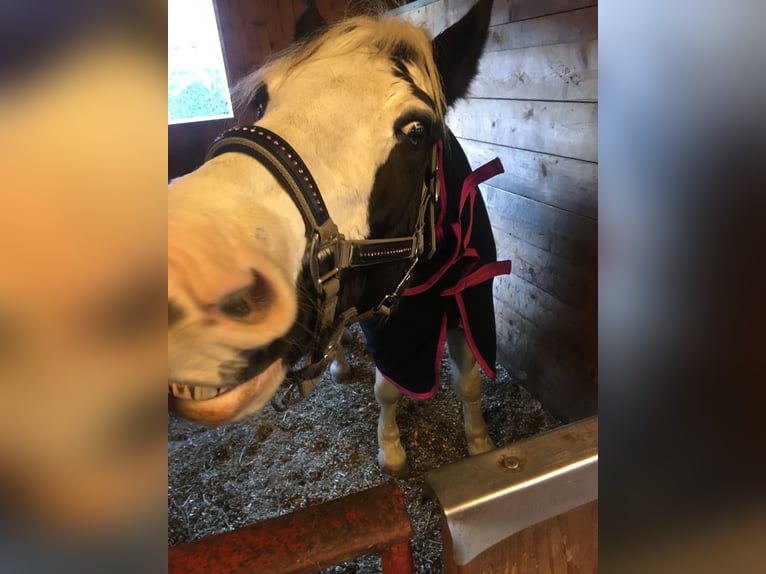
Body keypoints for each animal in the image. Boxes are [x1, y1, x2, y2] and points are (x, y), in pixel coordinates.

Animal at [168, 0, 510, 476]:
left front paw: (480, 444)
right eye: (262, 100)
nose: (186, 273)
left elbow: (471, 383)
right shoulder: (385, 324)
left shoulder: (466, 301)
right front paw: (392, 449)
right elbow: (387, 390)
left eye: (417, 130)